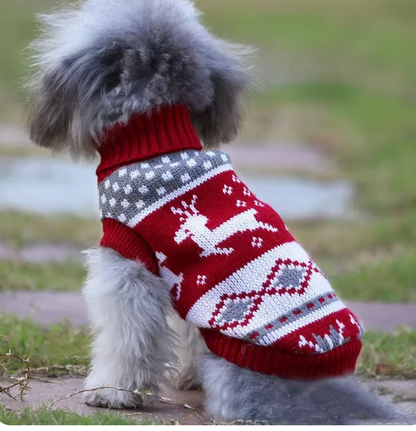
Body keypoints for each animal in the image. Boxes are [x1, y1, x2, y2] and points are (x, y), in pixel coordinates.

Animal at [26, 0, 410, 426]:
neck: (156, 140)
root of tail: (326, 389)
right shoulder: (181, 285)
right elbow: (187, 331)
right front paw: (182, 377)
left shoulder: (130, 262)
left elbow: (127, 339)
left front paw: (111, 393)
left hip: (233, 366)